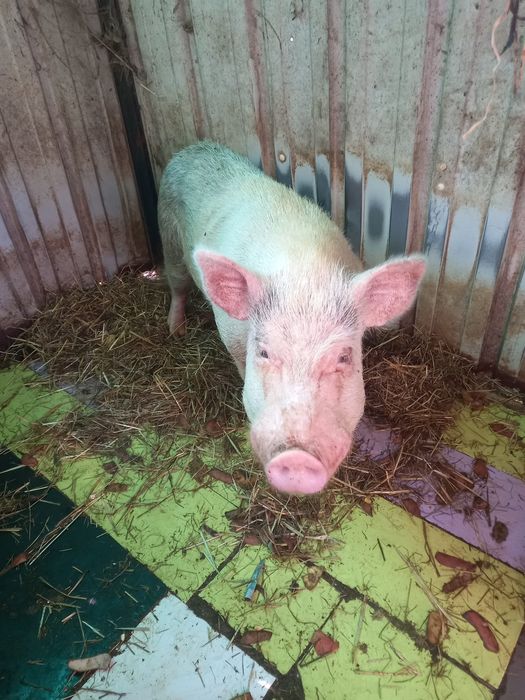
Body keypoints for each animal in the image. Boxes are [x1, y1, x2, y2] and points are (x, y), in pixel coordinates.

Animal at [158, 141, 426, 495]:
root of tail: (192, 148)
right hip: (170, 239)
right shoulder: (232, 337)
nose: (297, 458)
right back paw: (176, 331)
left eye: (344, 357)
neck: (304, 273)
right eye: (264, 352)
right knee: (177, 286)